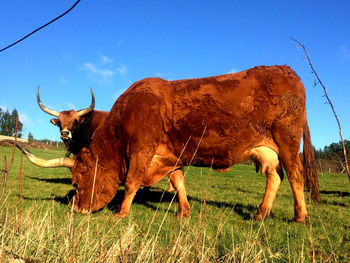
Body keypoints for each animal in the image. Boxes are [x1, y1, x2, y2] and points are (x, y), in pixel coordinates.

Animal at [13, 65, 320, 223]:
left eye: (76, 183)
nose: (77, 209)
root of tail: (288, 72)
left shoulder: (142, 149)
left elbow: (132, 181)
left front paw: (122, 212)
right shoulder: (170, 155)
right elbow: (178, 182)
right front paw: (183, 211)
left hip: (288, 141)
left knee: (295, 176)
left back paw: (300, 216)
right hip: (270, 150)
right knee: (275, 178)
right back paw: (259, 213)